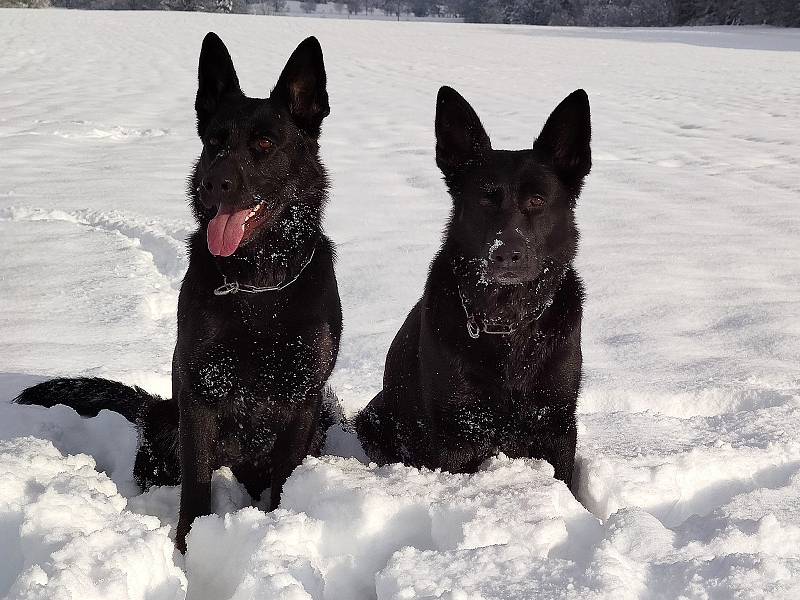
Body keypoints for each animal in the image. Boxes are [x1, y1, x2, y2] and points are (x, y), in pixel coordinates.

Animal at [354, 85, 588, 488]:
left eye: (537, 200)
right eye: (484, 199)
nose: (505, 254)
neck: (508, 323)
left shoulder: (556, 423)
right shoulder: (459, 432)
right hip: (375, 419)